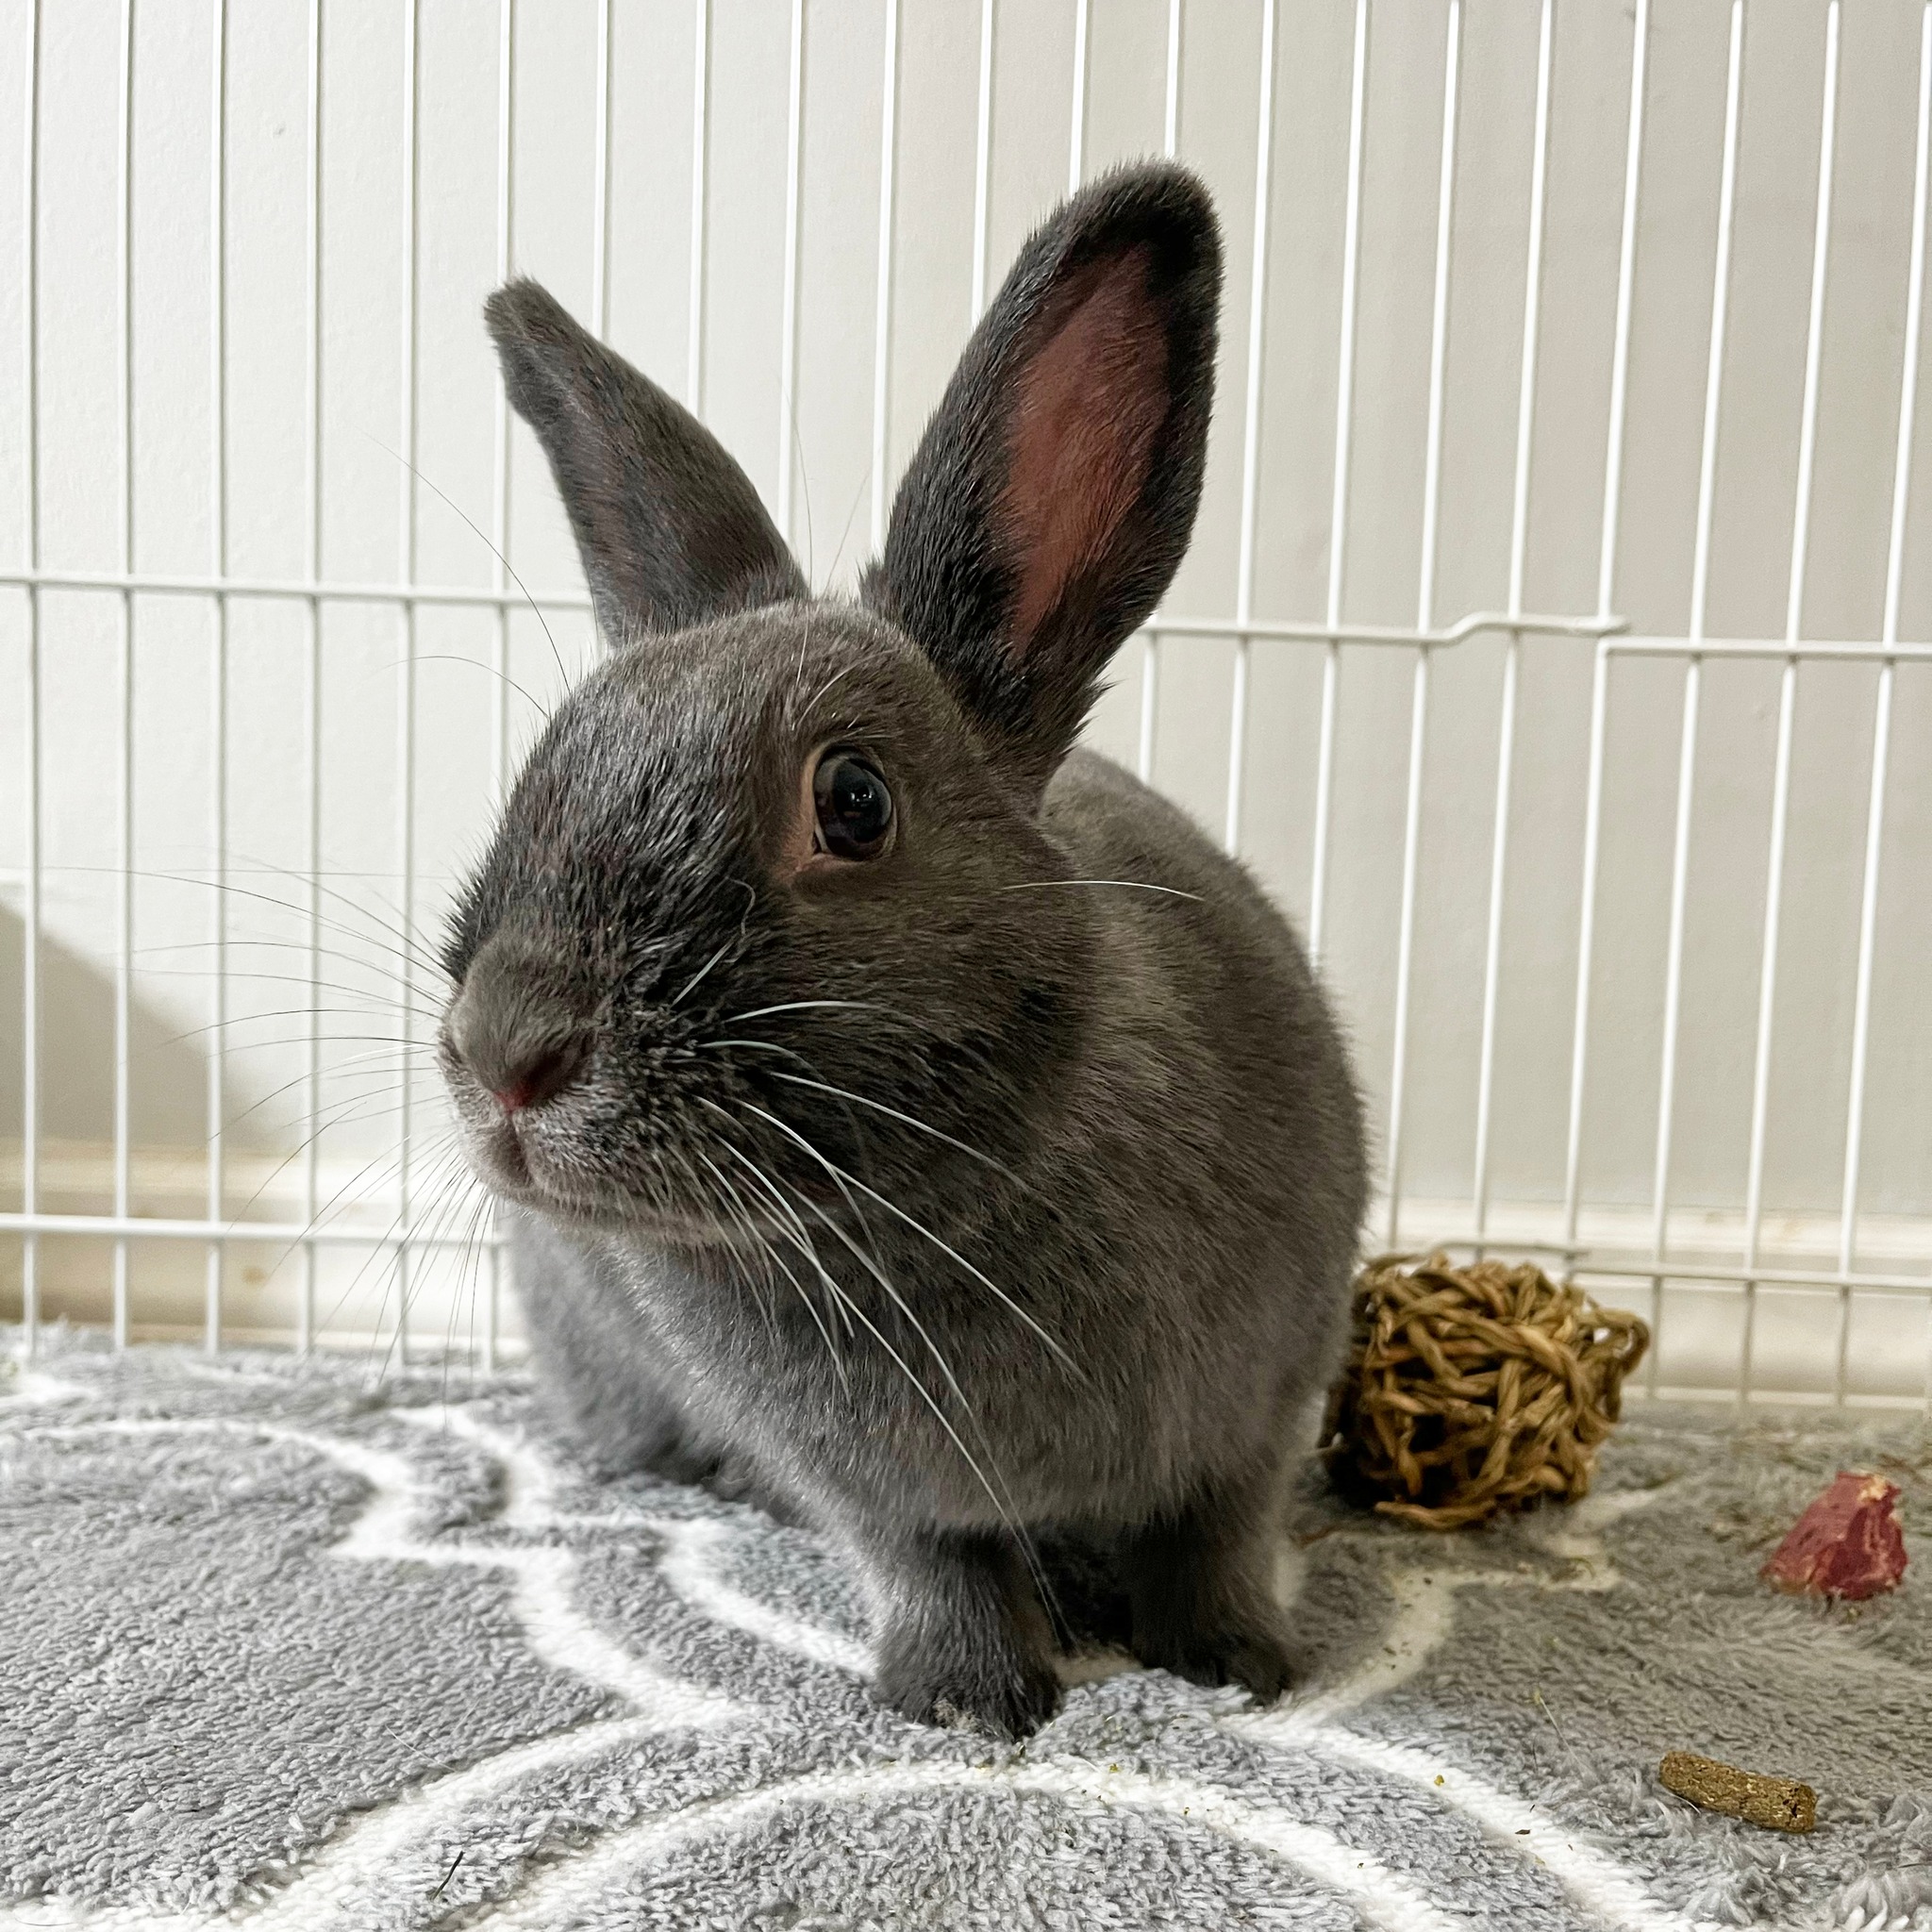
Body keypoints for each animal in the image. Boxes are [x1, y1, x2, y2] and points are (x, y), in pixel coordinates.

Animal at [439, 161, 1368, 1741]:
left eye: (855, 801)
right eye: (543, 768)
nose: (507, 1051)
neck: (944, 1209)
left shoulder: (1271, 1399)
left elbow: (1218, 1534)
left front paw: (1241, 1666)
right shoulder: (876, 1493)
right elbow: (929, 1559)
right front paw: (968, 1701)